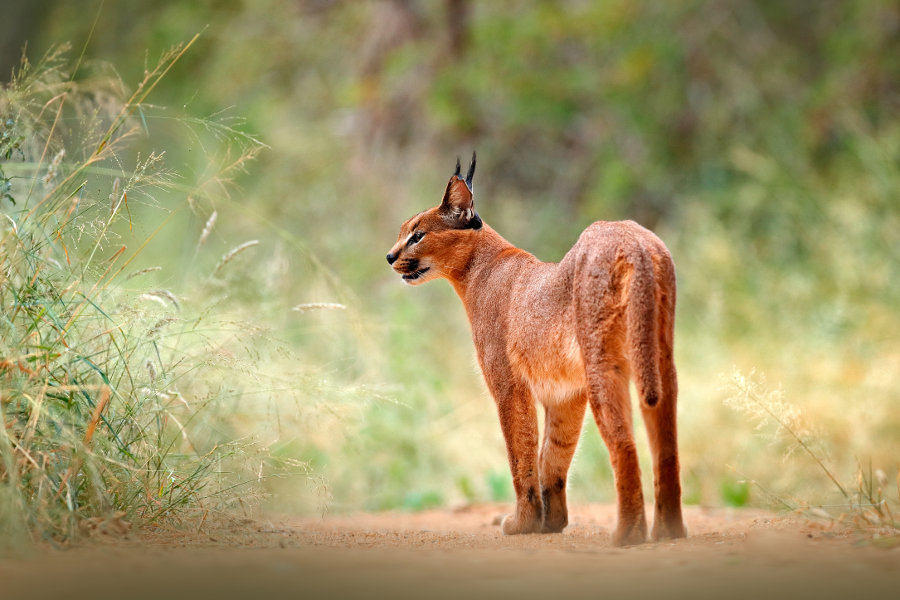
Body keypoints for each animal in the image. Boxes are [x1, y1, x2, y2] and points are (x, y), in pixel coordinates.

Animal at [384, 154, 684, 544]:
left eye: (417, 235)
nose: (390, 256)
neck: (476, 269)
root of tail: (631, 237)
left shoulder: (509, 386)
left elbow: (521, 454)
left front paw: (523, 523)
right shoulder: (566, 393)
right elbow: (553, 454)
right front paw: (550, 523)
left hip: (603, 364)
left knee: (624, 444)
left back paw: (627, 535)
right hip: (660, 357)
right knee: (666, 446)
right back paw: (669, 531)